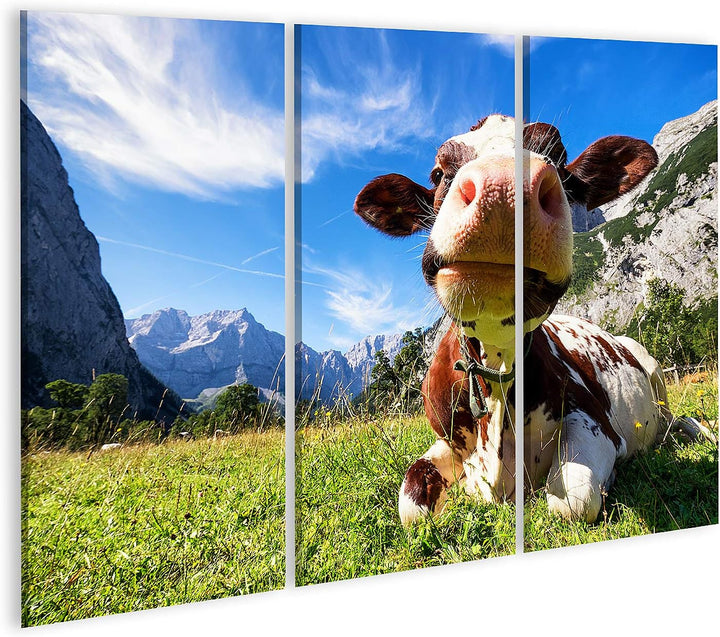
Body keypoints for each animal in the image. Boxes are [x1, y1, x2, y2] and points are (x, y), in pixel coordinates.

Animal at [354, 114, 672, 524]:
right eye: (438, 172)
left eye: (559, 159)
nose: (503, 188)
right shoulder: (445, 440)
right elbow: (411, 503)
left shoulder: (595, 420)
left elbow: (572, 499)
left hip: (653, 368)